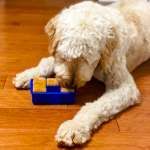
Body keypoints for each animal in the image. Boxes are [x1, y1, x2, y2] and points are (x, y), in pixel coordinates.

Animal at [12, 0, 150, 146]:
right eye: (63, 57)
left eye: (87, 59)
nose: (71, 84)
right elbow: (47, 62)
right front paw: (27, 75)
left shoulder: (124, 86)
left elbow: (95, 107)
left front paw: (74, 126)